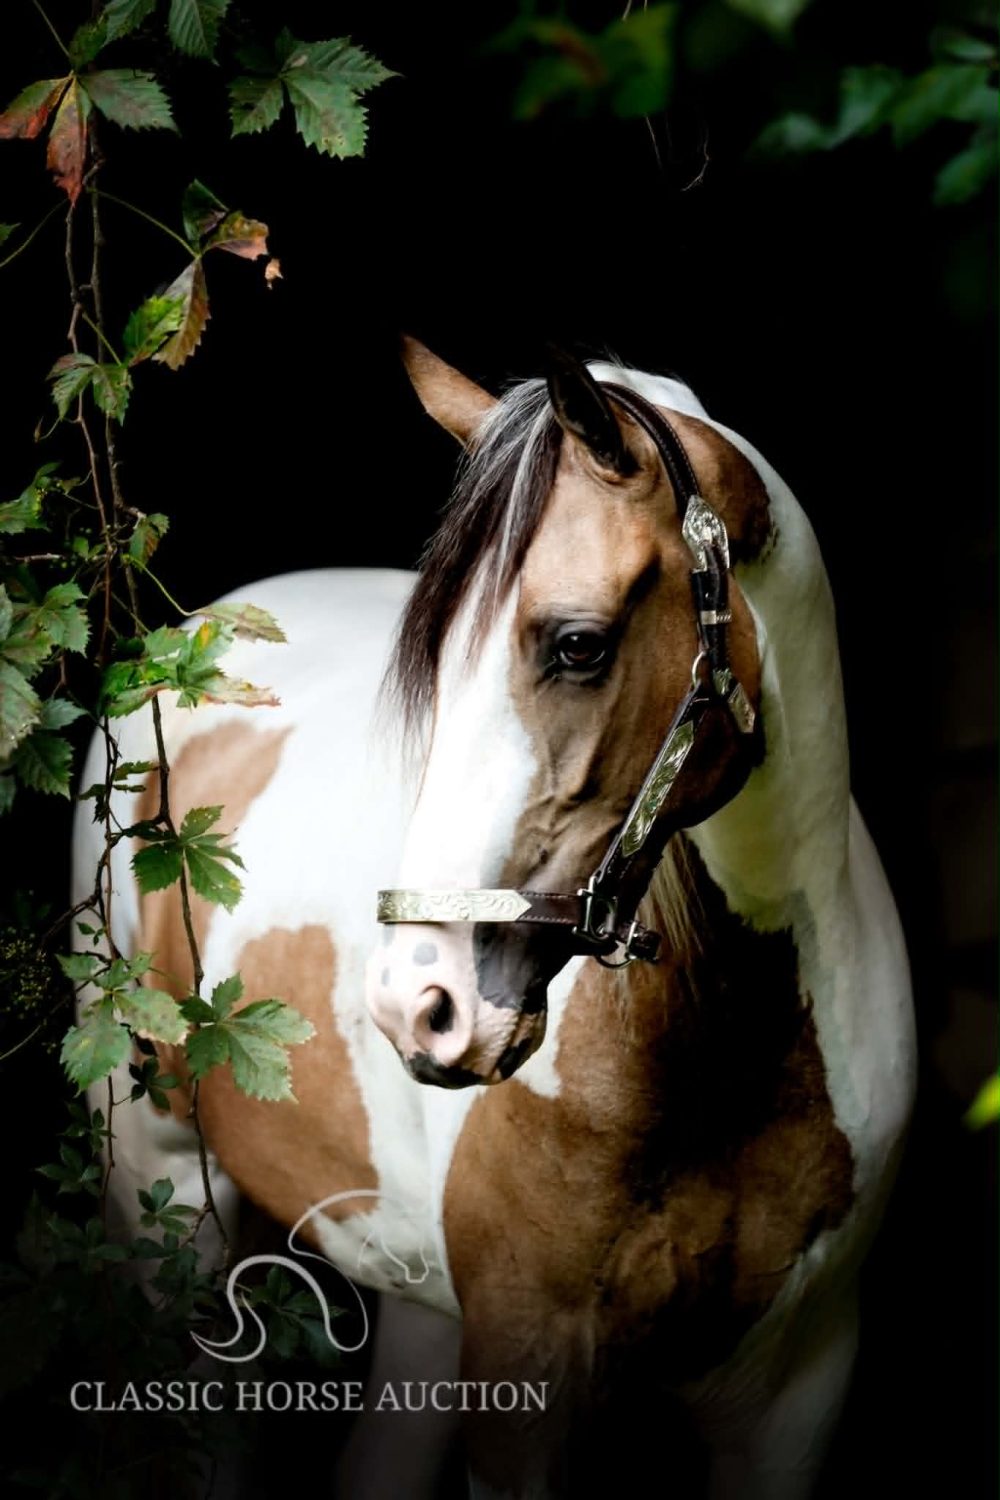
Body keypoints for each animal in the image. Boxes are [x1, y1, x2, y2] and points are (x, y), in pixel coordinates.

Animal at [73, 340, 917, 1498]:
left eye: (579, 645)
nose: (416, 1007)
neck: (726, 1055)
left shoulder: (799, 1388)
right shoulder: (525, 1376)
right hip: (165, 1194)